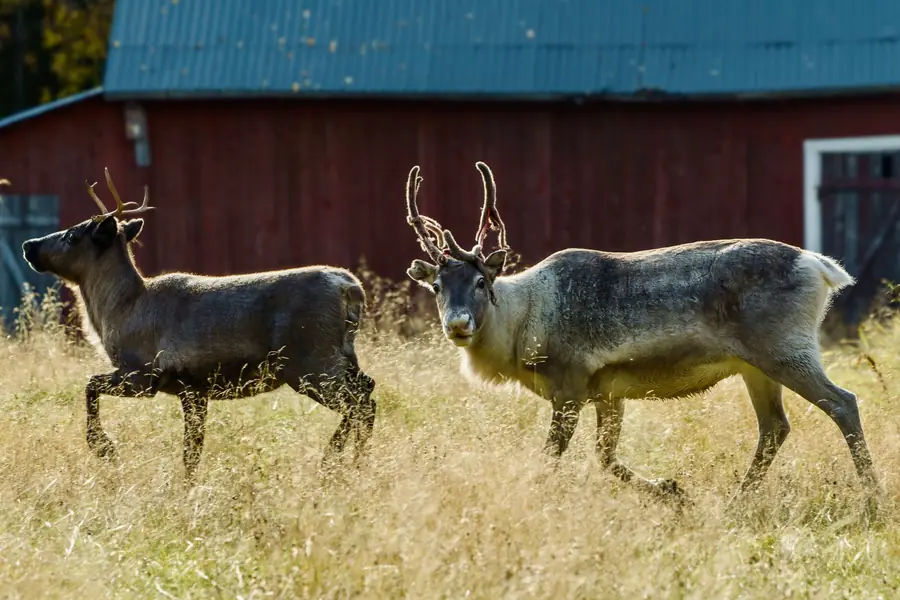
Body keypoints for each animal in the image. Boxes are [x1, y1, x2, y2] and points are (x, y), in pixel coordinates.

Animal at [21, 169, 376, 482]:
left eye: (72, 236)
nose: (28, 245)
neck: (119, 310)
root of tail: (351, 289)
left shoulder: (142, 375)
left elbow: (90, 385)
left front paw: (104, 447)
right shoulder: (193, 389)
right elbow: (192, 451)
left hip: (309, 362)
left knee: (359, 403)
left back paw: (332, 460)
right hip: (341, 358)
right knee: (369, 391)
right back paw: (357, 462)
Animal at [402, 161, 879, 506]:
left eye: (481, 281)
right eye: (437, 286)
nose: (458, 324)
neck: (524, 320)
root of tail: (819, 265)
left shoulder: (570, 384)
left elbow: (552, 457)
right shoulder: (608, 392)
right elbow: (606, 457)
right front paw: (673, 491)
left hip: (785, 350)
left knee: (842, 402)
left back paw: (873, 499)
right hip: (755, 366)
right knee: (775, 427)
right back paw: (735, 504)